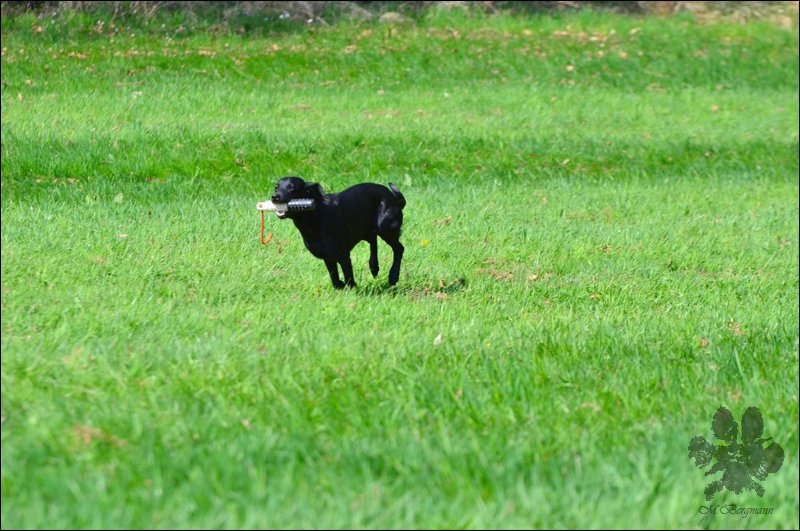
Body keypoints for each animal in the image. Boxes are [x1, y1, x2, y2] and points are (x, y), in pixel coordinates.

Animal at [271, 177, 406, 289]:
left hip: (385, 228)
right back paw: (374, 267)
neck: (314, 216)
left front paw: (350, 288)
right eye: (276, 187)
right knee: (373, 241)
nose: (275, 197)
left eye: (292, 187)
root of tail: (393, 197)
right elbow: (335, 278)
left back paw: (393, 276)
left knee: (399, 249)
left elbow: (348, 276)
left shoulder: (343, 255)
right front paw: (340, 285)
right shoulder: (327, 256)